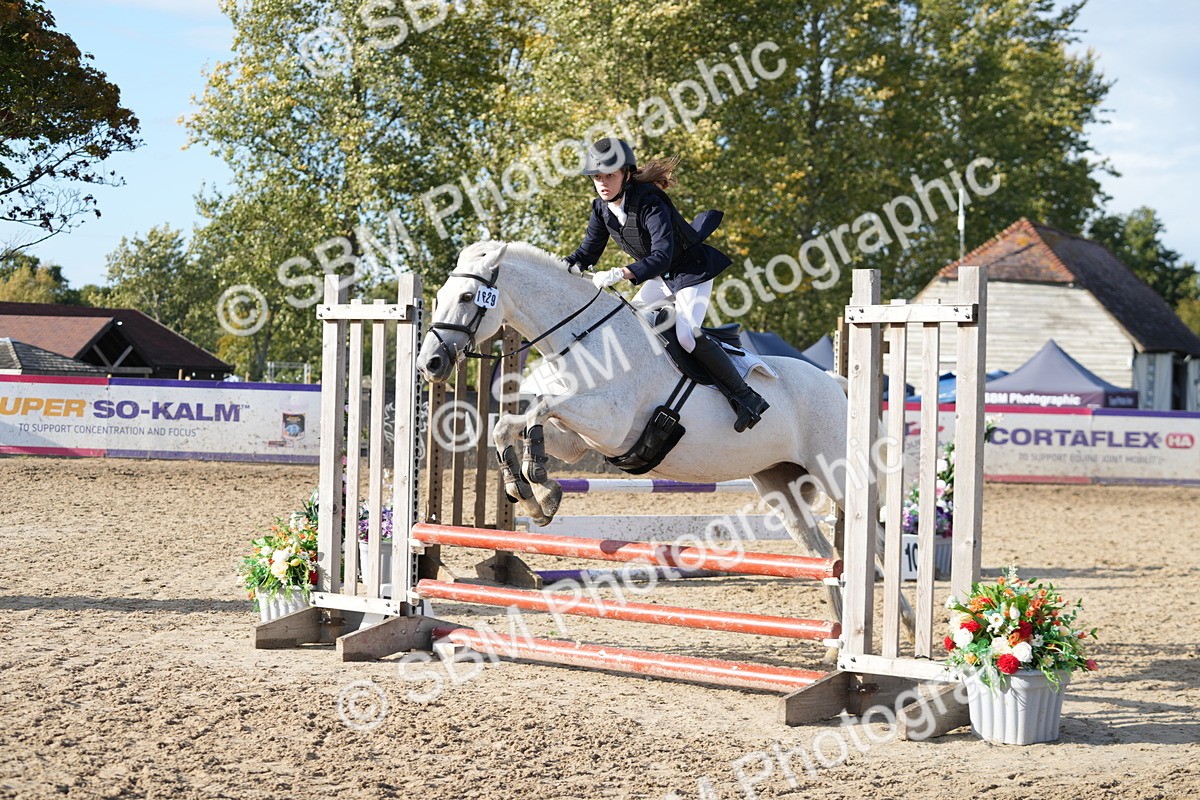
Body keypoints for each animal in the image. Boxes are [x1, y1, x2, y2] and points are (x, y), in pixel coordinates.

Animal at [417, 240, 914, 641]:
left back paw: (902, 629)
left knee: (876, 542)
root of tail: (835, 380)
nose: (430, 364)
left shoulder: (608, 423)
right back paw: (835, 639)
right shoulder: (581, 441)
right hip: (781, 487)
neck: (585, 338)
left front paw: (538, 478)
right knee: (823, 553)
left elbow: (538, 407)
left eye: (467, 297)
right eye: (438, 298)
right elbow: (511, 424)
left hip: (839, 476)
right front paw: (534, 494)